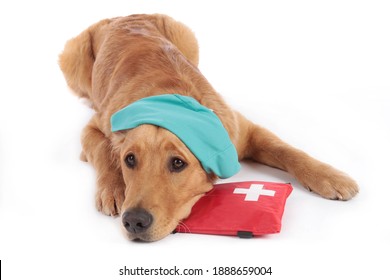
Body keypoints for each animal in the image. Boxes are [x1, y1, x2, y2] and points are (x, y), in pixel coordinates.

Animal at [58, 13, 360, 241]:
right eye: (130, 160)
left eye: (177, 163)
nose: (134, 221)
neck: (168, 91)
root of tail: (122, 15)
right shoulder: (94, 126)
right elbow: (103, 151)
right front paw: (113, 188)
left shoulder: (243, 131)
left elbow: (286, 150)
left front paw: (330, 176)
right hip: (72, 57)